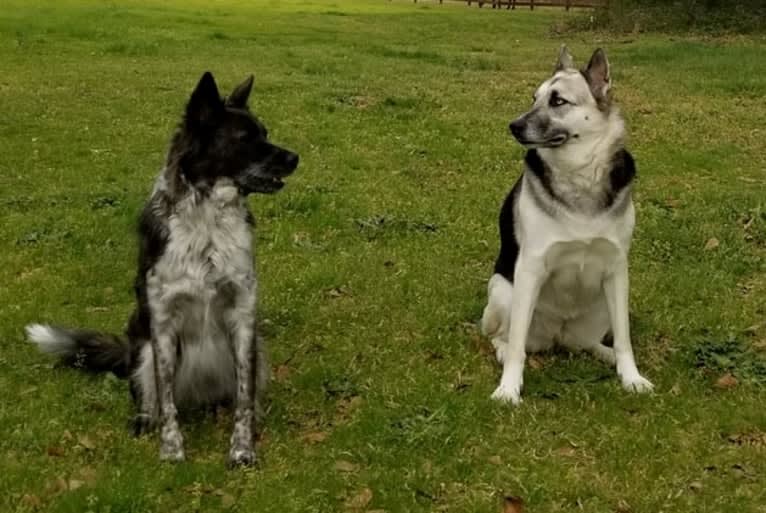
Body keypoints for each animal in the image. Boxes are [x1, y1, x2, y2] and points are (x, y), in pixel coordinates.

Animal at [27, 71, 298, 464]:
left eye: (264, 132)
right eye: (244, 139)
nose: (295, 157)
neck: (207, 224)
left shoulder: (244, 316)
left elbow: (244, 399)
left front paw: (241, 449)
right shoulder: (163, 322)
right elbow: (166, 398)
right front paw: (172, 450)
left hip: (256, 349)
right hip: (140, 348)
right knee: (150, 396)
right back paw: (144, 420)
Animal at [484, 46, 652, 402]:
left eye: (558, 100)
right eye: (534, 98)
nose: (513, 126)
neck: (580, 175)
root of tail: (558, 336)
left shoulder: (617, 269)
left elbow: (625, 339)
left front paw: (630, 376)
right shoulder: (530, 267)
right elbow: (517, 345)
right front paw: (509, 387)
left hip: (606, 302)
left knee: (590, 342)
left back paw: (605, 354)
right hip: (505, 291)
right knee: (504, 336)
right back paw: (503, 351)